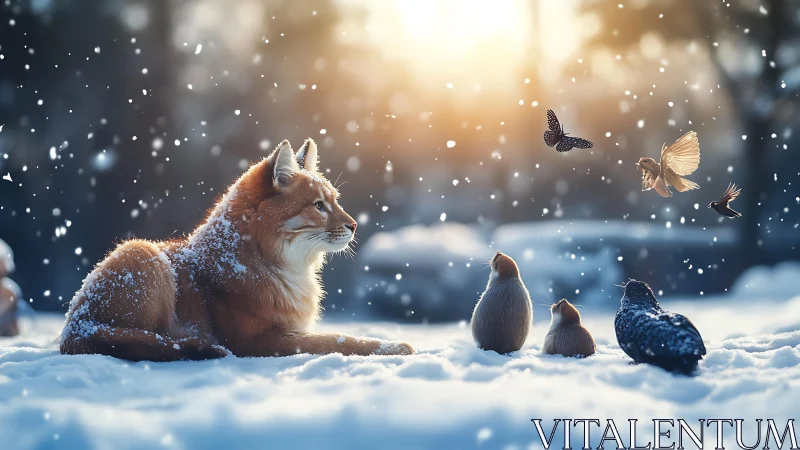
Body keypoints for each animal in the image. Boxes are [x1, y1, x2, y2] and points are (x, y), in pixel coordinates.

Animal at [59, 139, 415, 361]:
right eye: (319, 206)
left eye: (335, 201)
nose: (355, 226)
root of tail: (75, 327)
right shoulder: (260, 340)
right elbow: (341, 340)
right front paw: (395, 347)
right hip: (144, 252)